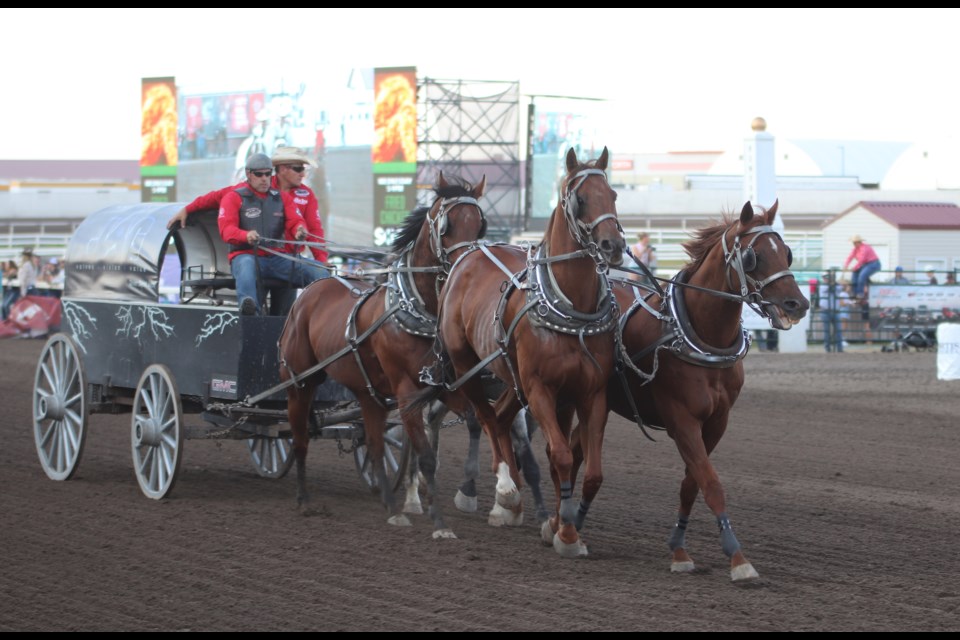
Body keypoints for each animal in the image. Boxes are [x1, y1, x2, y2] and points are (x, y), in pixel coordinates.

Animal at [278, 172, 488, 536]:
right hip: (300, 384)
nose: (464, 267)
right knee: (300, 438)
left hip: (368, 394)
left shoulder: (443, 387)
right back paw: (304, 499)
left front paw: (466, 492)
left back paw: (391, 505)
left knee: (375, 445)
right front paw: (439, 521)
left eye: (479, 224)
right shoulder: (406, 393)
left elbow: (474, 421)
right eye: (446, 225)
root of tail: (311, 291)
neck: (418, 310)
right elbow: (426, 456)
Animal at [406, 146, 628, 556]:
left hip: (511, 377)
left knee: (500, 418)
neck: (571, 308)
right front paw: (565, 533)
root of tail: (468, 257)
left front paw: (561, 526)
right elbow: (561, 455)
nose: (613, 246)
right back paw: (506, 491)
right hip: (469, 366)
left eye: (613, 195)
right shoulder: (541, 389)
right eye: (580, 199)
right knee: (486, 418)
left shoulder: (590, 393)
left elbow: (587, 470)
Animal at [608, 200, 808, 580]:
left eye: (786, 252)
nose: (798, 304)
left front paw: (679, 549)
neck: (701, 336)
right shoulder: (681, 420)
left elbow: (692, 482)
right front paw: (738, 558)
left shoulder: (717, 422)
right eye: (753, 256)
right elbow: (711, 482)